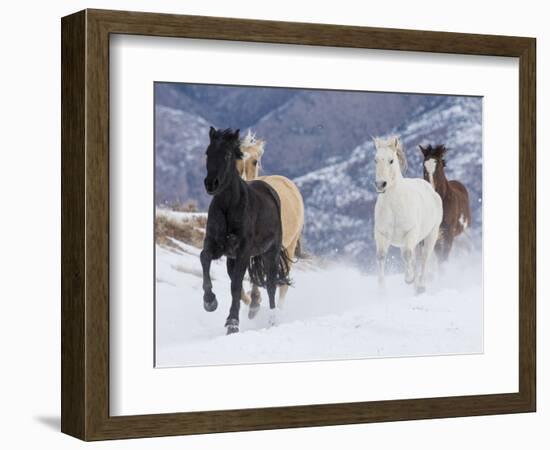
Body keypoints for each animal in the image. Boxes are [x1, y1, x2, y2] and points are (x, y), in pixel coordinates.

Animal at [199, 126, 294, 334]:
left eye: (227, 155)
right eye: (207, 152)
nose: (211, 184)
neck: (229, 207)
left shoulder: (243, 251)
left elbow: (236, 285)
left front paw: (232, 323)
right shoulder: (217, 246)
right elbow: (204, 258)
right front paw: (210, 302)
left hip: (271, 252)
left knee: (271, 285)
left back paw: (272, 320)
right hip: (233, 258)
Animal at [370, 135, 444, 294]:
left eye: (391, 160)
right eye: (375, 159)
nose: (380, 184)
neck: (394, 206)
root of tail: (431, 189)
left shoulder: (410, 233)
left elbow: (408, 255)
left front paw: (409, 279)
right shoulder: (381, 234)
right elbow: (381, 256)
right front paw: (381, 289)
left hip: (431, 235)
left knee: (424, 257)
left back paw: (420, 286)